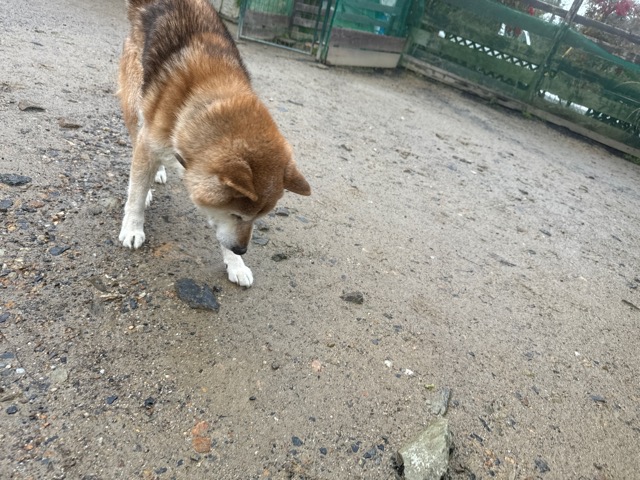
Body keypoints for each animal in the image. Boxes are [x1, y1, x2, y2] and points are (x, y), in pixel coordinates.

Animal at [117, 0, 311, 287]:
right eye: (236, 214)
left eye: (258, 218)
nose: (242, 249)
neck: (208, 96)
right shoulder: (149, 140)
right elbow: (137, 194)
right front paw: (132, 227)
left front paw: (236, 263)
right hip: (134, 104)